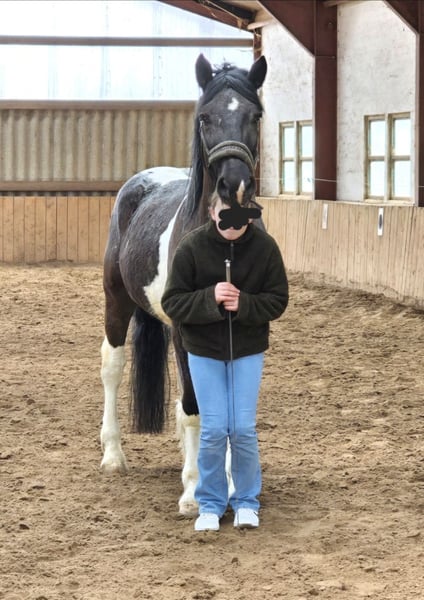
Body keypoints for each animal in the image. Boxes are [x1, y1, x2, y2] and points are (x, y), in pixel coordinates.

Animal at [100, 53, 267, 516]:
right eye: (205, 117)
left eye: (255, 116)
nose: (234, 186)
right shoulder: (184, 332)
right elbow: (195, 406)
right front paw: (195, 492)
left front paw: (231, 482)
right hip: (116, 301)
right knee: (112, 365)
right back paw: (113, 455)